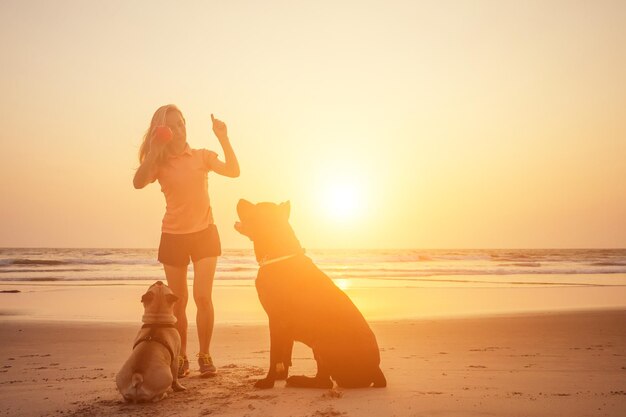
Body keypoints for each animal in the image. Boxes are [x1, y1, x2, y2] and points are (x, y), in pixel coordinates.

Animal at [233, 200, 382, 388]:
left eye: (257, 208)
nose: (240, 199)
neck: (279, 255)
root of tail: (376, 371)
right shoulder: (284, 326)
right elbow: (284, 353)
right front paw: (279, 375)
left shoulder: (276, 321)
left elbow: (274, 354)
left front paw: (268, 381)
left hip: (323, 342)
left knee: (324, 382)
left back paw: (300, 380)